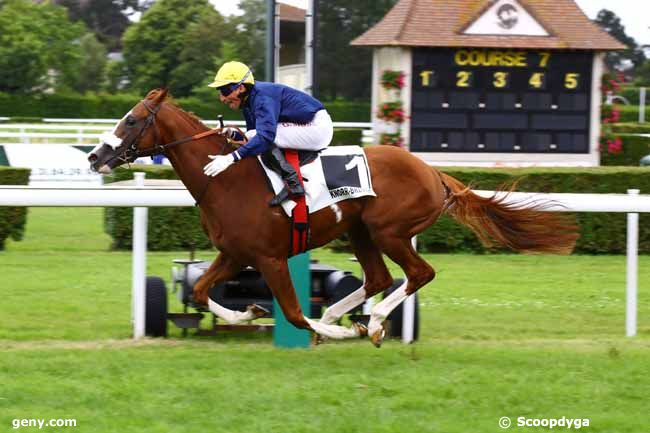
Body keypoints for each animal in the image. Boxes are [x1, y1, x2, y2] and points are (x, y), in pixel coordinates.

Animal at [87, 89, 576, 346]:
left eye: (132, 121)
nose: (95, 156)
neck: (229, 182)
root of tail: (433, 172)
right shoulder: (234, 254)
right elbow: (202, 291)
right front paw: (248, 313)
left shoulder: (269, 258)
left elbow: (294, 313)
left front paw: (328, 330)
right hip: (360, 230)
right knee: (379, 278)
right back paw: (355, 317)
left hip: (389, 230)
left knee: (417, 274)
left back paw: (372, 323)